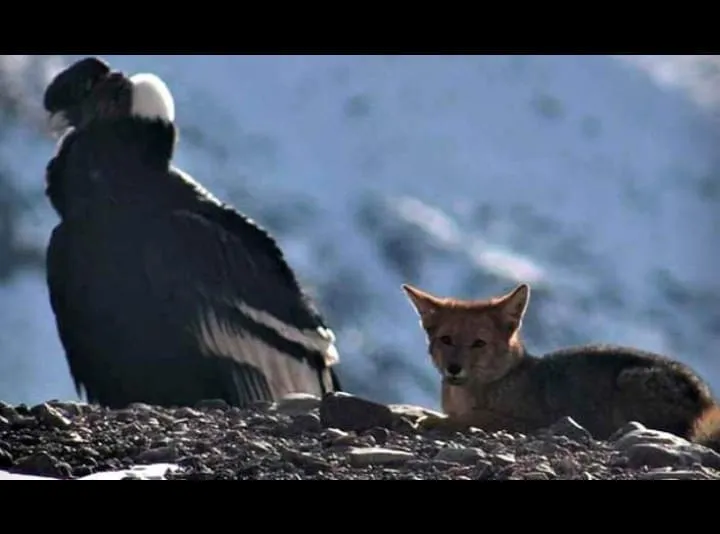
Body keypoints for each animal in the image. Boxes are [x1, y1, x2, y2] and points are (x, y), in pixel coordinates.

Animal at [401, 282, 720, 451]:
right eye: (446, 340)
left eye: (478, 343)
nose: (453, 368)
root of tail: (704, 396)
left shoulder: (530, 422)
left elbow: (474, 418)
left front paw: (434, 421)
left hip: (629, 379)